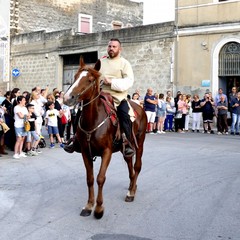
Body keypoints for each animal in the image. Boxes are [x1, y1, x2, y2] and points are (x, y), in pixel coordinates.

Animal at [62, 57, 147, 218]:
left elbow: (100, 178)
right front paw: (89, 205)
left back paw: (131, 192)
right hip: (125, 147)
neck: (93, 121)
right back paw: (132, 186)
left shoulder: (106, 152)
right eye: (75, 77)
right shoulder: (85, 153)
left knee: (137, 166)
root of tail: (140, 107)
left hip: (139, 141)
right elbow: (90, 179)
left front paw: (99, 208)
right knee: (129, 164)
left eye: (89, 80)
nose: (67, 98)